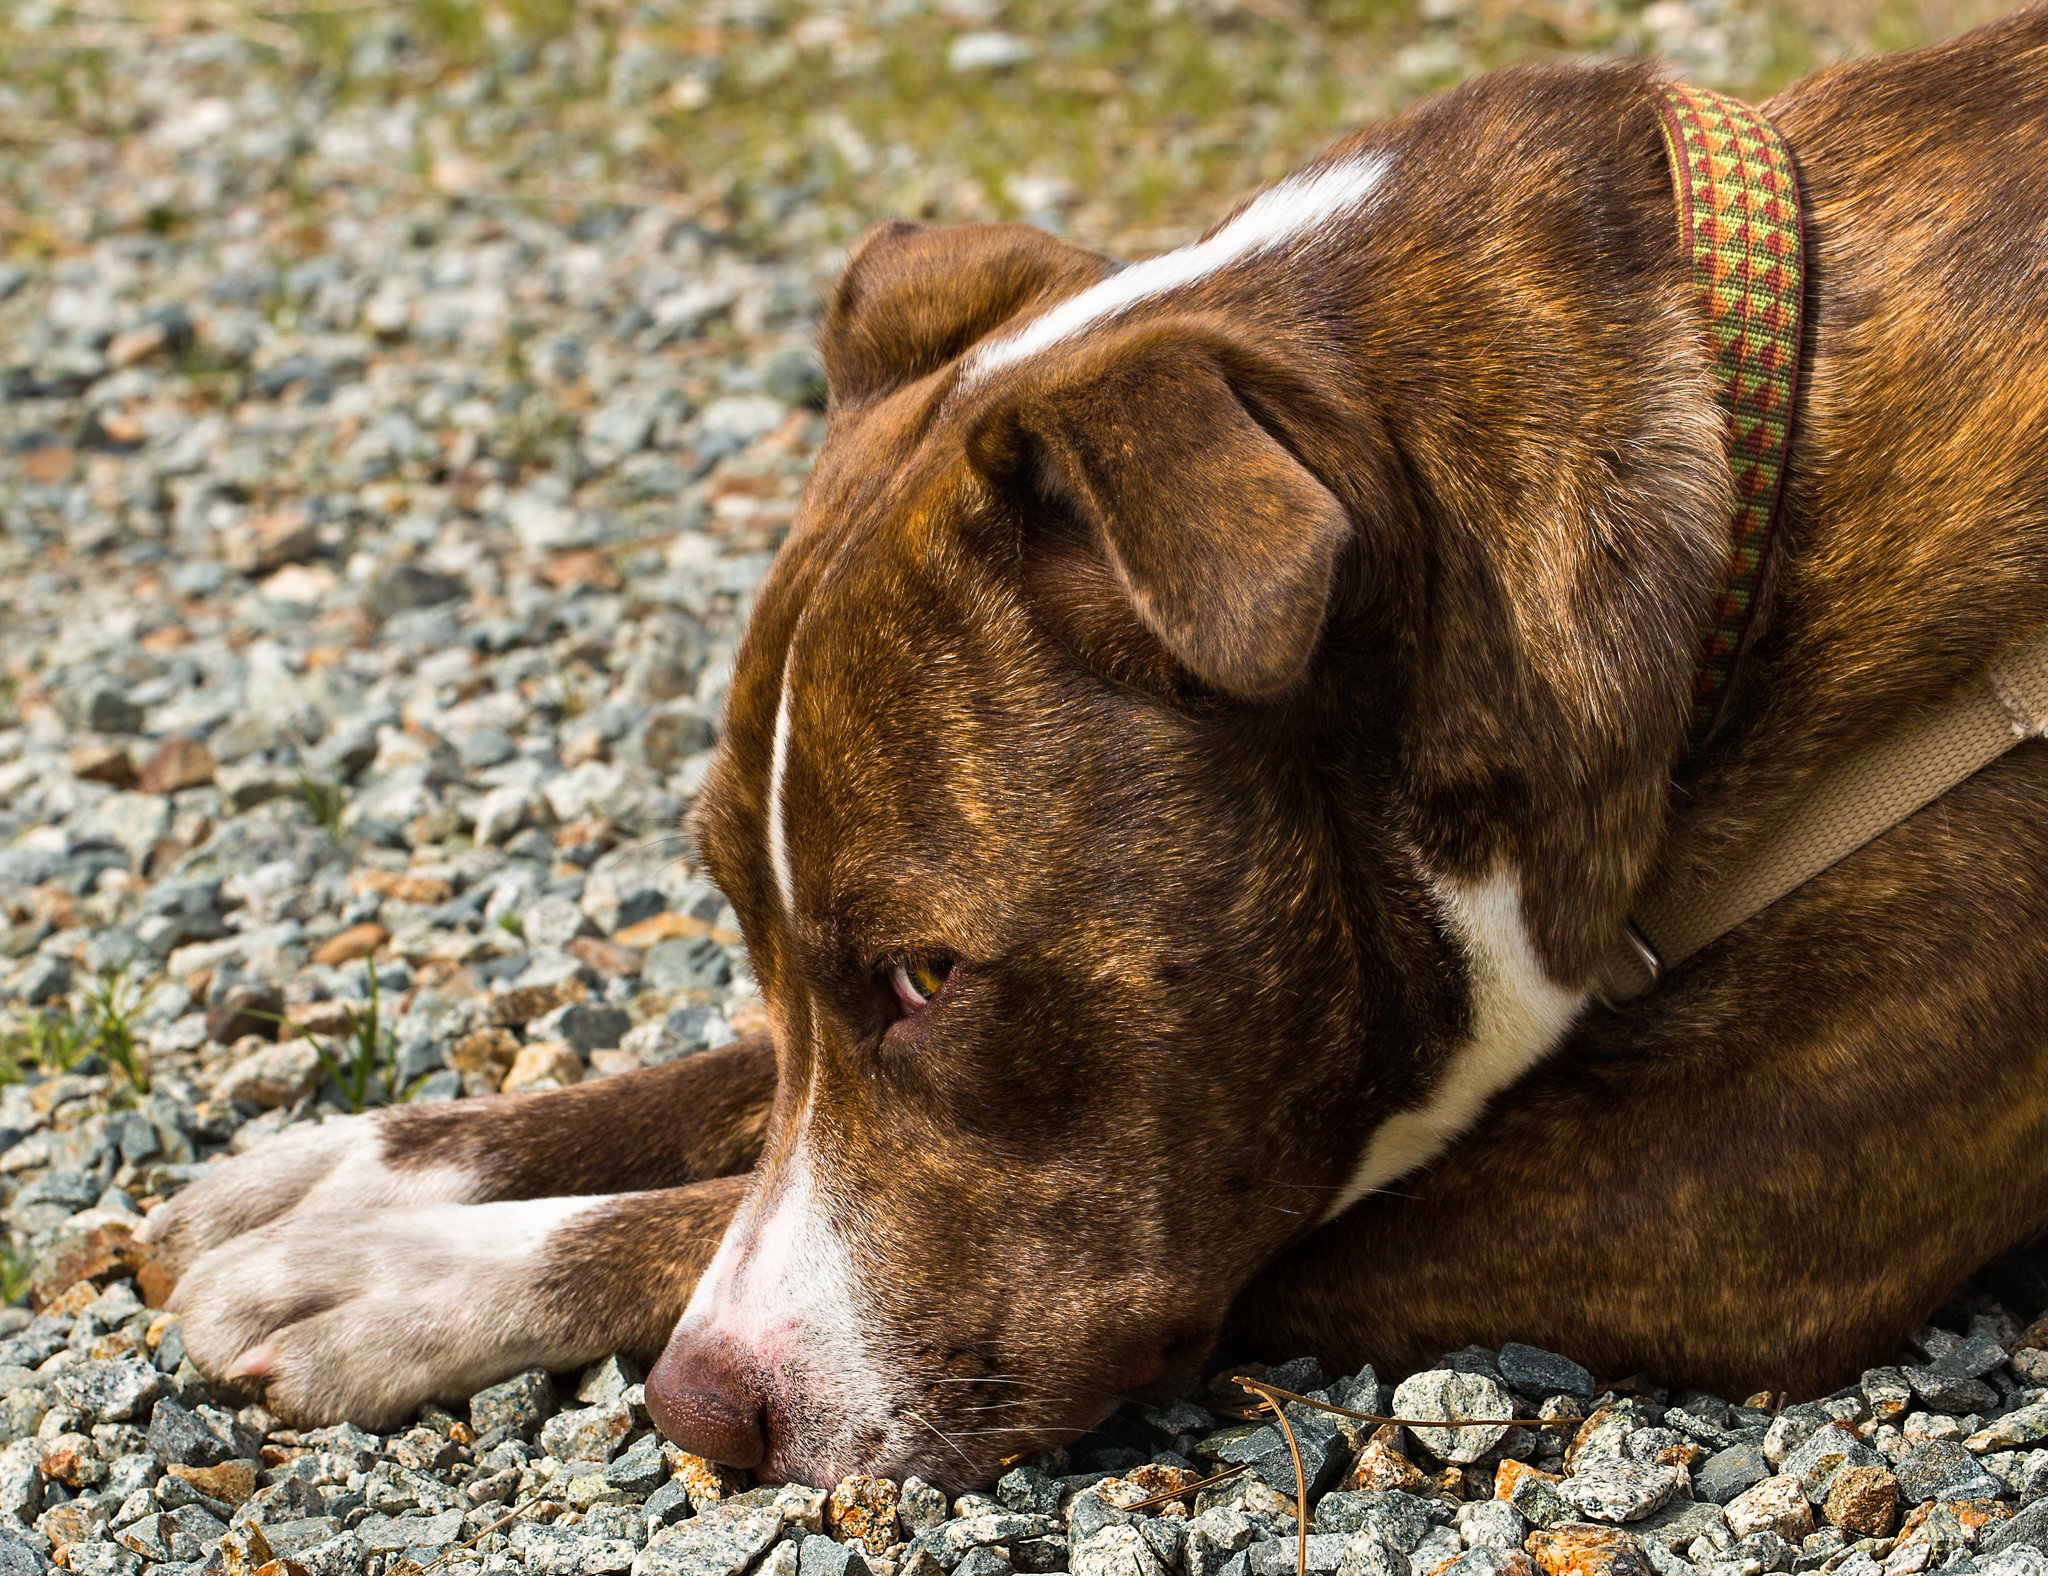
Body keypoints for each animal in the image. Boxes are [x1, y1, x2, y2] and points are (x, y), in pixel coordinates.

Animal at [136, 3, 2048, 1490]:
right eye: (752, 941)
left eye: (930, 977)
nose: (696, 1412)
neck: (1745, 507)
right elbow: (734, 1091)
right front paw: (361, 1171)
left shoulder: (1723, 1191)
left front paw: (393, 1281)